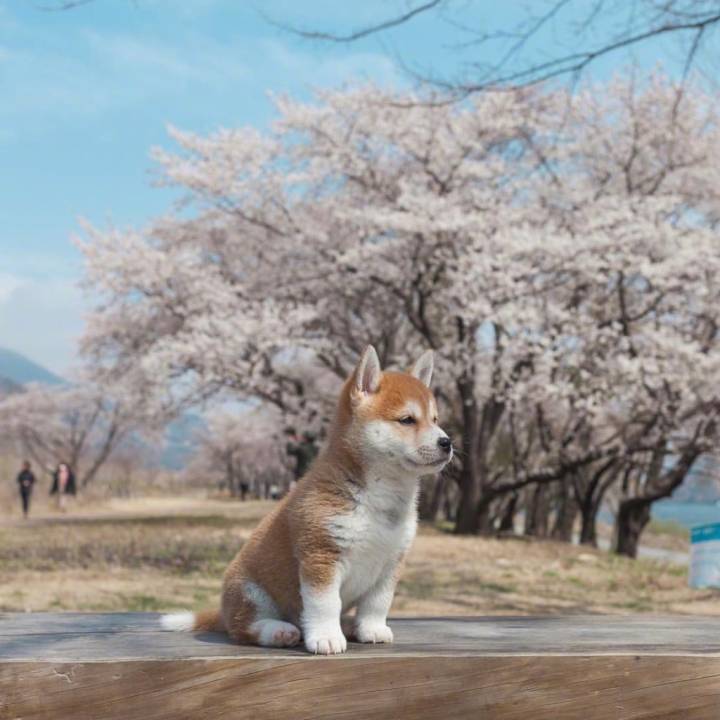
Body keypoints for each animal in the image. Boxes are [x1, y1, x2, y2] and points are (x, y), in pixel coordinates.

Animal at [165, 346, 456, 656]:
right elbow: (325, 604)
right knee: (244, 628)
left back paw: (349, 625)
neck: (381, 494)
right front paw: (326, 637)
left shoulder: (391, 562)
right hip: (250, 591)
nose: (447, 442)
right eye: (407, 420)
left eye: (435, 420)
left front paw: (371, 629)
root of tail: (223, 611)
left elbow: (378, 603)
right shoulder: (321, 554)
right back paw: (280, 631)